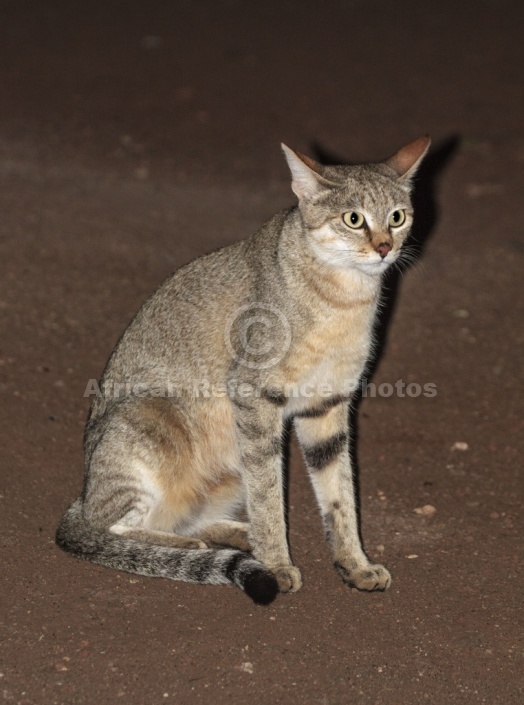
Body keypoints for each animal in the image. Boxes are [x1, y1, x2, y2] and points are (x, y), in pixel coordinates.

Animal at [56, 138, 430, 604]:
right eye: (354, 218)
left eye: (397, 217)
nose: (383, 248)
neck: (343, 299)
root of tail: (83, 493)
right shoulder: (254, 396)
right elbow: (269, 494)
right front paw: (277, 564)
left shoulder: (327, 405)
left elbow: (341, 496)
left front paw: (354, 564)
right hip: (150, 420)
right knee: (112, 529)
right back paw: (193, 546)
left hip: (226, 470)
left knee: (181, 517)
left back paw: (236, 534)